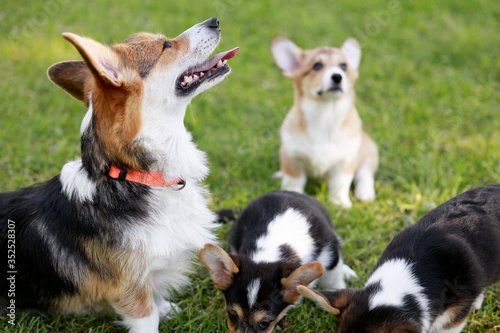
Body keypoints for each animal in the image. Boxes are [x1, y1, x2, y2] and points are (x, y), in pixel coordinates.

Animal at [0, 17, 238, 332]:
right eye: (166, 45)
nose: (215, 21)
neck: (134, 175)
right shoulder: (131, 291)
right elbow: (147, 318)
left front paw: (166, 307)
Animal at [272, 37, 376, 208]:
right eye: (317, 66)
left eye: (343, 66)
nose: (338, 76)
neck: (325, 115)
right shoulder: (292, 157)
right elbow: (294, 181)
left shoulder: (344, 161)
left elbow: (339, 184)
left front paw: (339, 203)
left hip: (369, 151)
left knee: (365, 173)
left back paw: (366, 193)